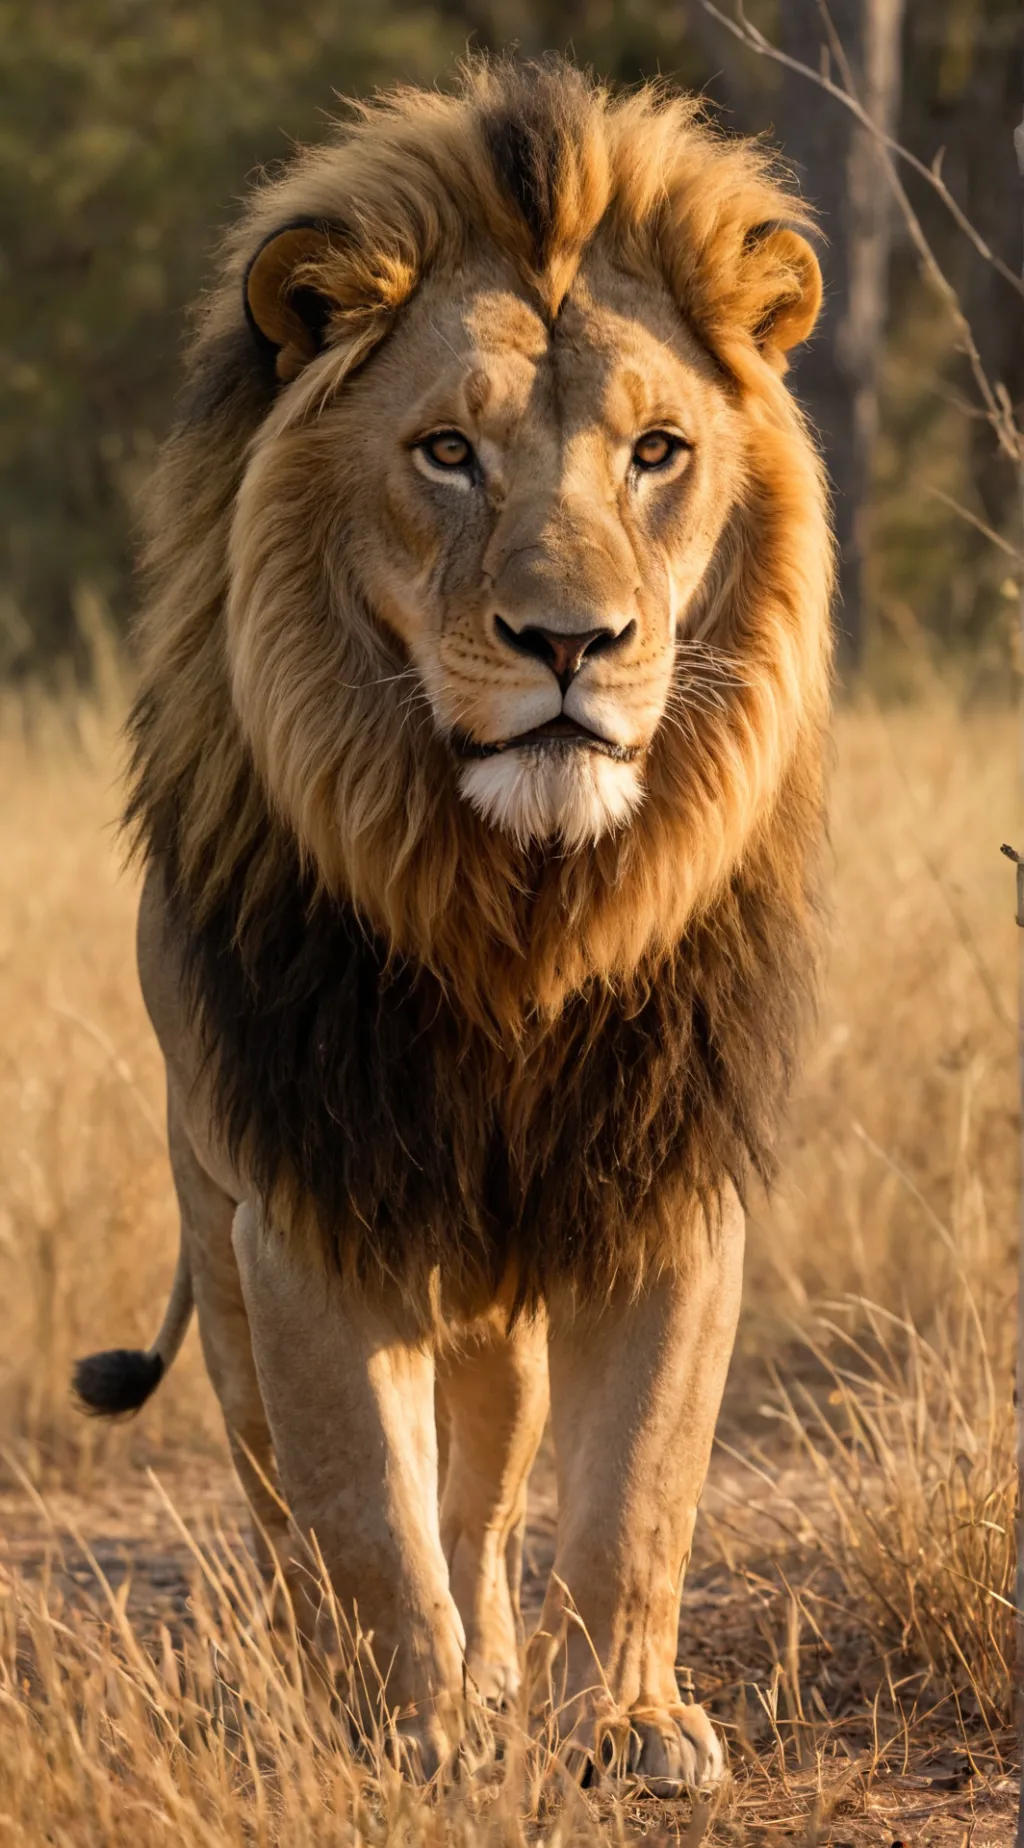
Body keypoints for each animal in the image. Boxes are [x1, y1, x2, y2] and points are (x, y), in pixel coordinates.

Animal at [73, 57, 832, 1792]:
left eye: (657, 452)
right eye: (444, 454)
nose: (571, 642)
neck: (522, 910)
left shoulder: (666, 1177)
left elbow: (633, 1496)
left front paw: (624, 1723)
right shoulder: (305, 1198)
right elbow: (363, 1506)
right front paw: (402, 1729)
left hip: (495, 1298)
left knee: (488, 1492)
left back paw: (501, 1674)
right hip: (218, 1235)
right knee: (291, 1506)